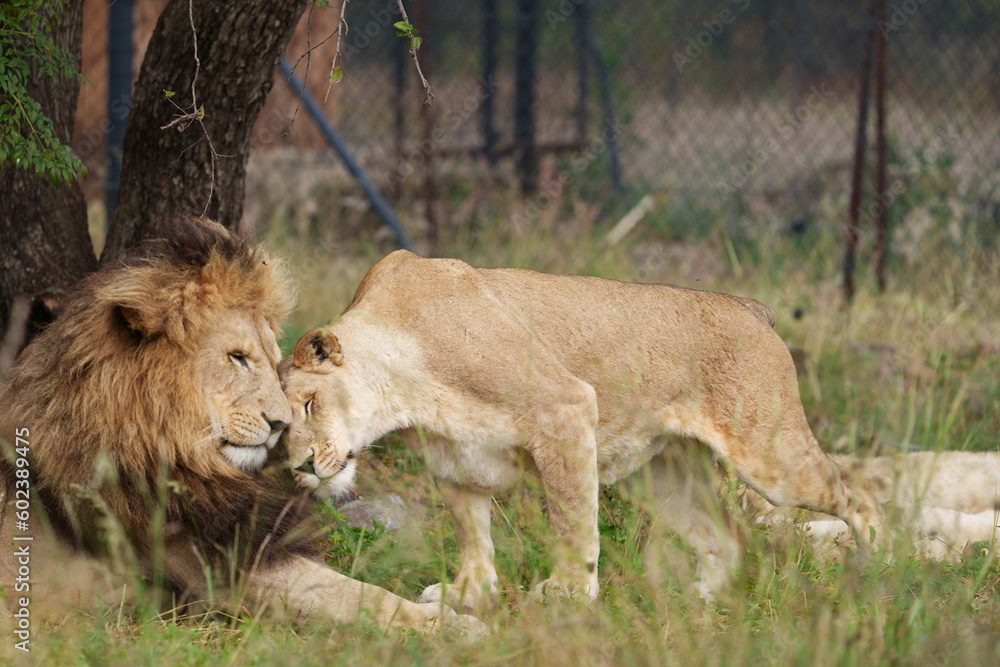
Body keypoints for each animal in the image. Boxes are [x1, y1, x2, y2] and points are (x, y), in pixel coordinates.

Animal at [0, 218, 484, 638]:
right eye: (237, 358)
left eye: (273, 360)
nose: (281, 423)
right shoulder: (224, 578)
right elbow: (361, 599)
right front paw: (456, 627)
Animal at [278, 249, 886, 609]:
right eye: (274, 433)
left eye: (308, 405)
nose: (301, 467)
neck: (404, 391)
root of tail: (751, 307)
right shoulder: (456, 464)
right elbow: (472, 535)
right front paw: (467, 594)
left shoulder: (564, 409)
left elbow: (571, 520)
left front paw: (569, 592)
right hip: (662, 478)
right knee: (728, 539)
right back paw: (698, 602)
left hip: (772, 459)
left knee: (859, 493)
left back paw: (874, 570)